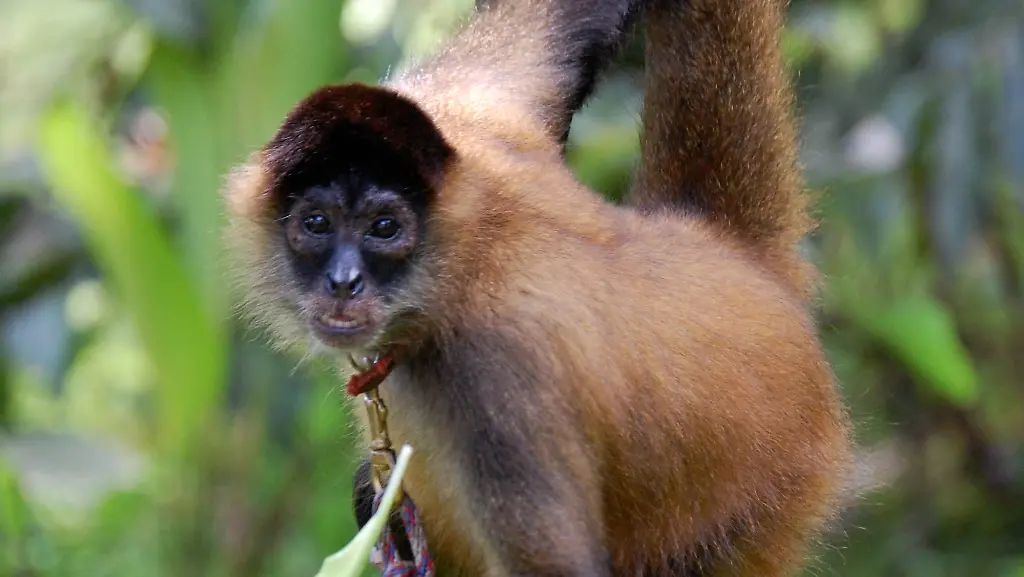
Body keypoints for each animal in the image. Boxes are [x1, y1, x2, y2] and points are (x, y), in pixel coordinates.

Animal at [221, 0, 854, 574]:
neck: (468, 253)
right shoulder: (465, 114)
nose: (343, 281)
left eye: (384, 228)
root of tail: (729, 256)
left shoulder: (498, 369)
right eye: (317, 224)